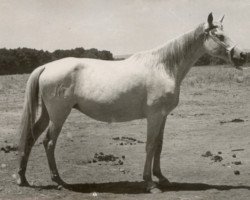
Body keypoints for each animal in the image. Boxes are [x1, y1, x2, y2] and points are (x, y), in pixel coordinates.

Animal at [17, 12, 246, 194]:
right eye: (219, 36)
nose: (243, 55)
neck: (163, 67)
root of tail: (46, 67)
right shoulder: (154, 116)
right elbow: (150, 145)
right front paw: (150, 183)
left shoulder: (163, 116)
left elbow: (159, 145)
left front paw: (161, 177)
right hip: (59, 114)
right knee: (49, 142)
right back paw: (59, 181)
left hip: (47, 114)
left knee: (31, 136)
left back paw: (22, 178)